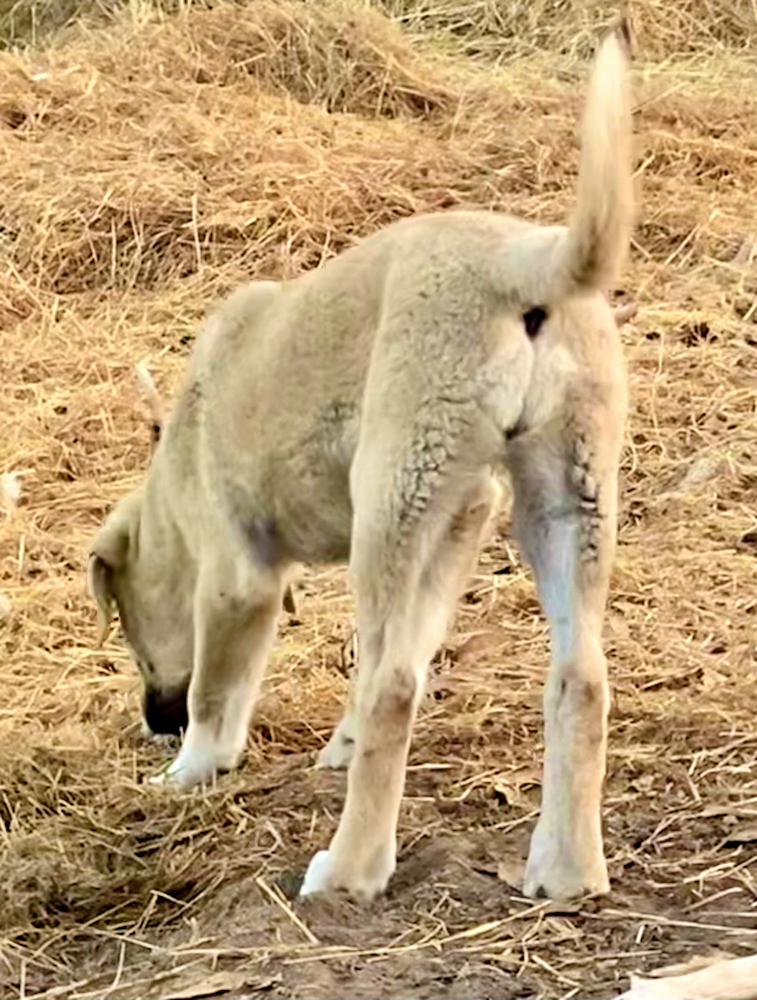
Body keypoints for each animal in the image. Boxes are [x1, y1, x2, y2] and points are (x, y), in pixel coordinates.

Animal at [87, 29, 632, 908]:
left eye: (129, 624)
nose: (152, 722)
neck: (175, 469)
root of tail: (519, 261)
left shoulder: (236, 575)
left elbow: (221, 691)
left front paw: (188, 769)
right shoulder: (463, 514)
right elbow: (402, 644)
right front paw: (334, 748)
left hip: (392, 503)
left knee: (393, 692)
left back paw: (347, 872)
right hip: (562, 499)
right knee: (578, 677)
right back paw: (565, 871)